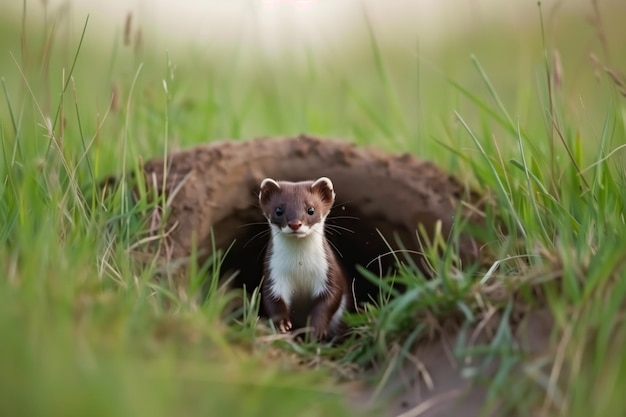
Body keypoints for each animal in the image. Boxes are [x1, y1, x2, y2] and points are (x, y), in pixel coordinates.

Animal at [256, 176, 348, 342]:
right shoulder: (273, 273)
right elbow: (272, 298)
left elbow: (331, 297)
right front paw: (283, 325)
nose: (295, 223)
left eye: (311, 209)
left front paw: (315, 329)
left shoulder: (328, 271)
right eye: (279, 210)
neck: (299, 265)